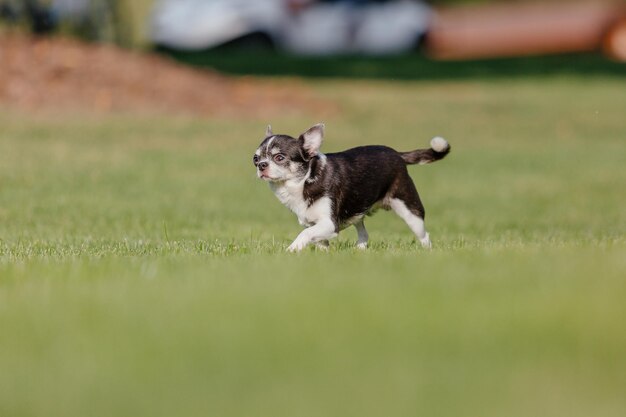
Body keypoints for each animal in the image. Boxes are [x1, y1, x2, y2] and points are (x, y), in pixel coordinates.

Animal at [254, 122, 448, 249]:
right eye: (255, 158)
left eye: (279, 157)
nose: (261, 165)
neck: (304, 181)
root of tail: (397, 154)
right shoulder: (314, 224)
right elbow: (318, 240)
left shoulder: (329, 223)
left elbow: (305, 234)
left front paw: (292, 250)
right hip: (358, 210)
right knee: (364, 234)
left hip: (410, 210)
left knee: (424, 235)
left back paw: (427, 252)